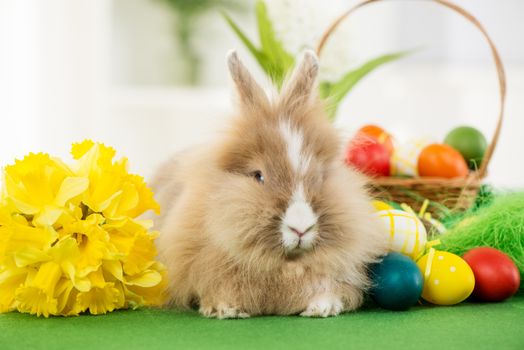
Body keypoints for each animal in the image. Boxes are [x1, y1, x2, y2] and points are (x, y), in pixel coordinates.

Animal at [151, 50, 388, 318]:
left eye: (319, 176)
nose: (300, 228)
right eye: (258, 176)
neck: (286, 264)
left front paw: (323, 308)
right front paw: (226, 309)